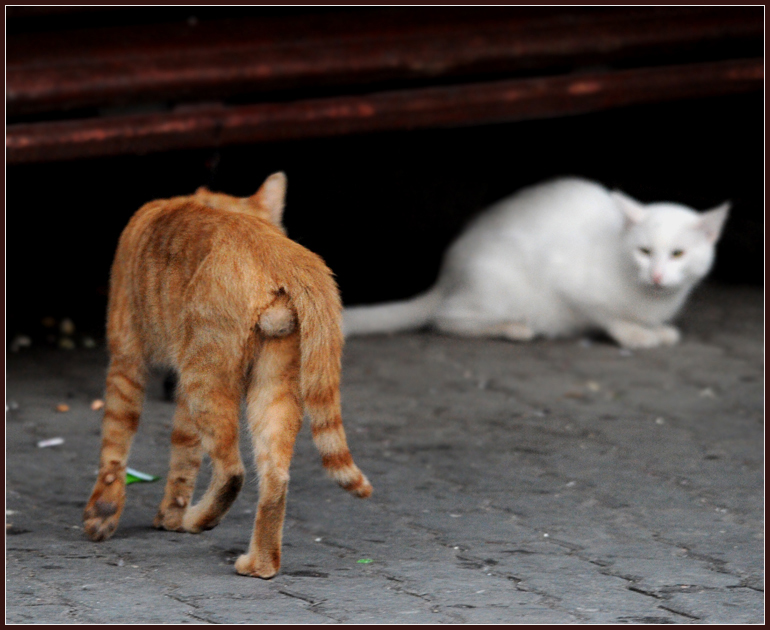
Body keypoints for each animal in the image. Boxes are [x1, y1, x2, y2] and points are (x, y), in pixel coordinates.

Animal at [82, 172, 370, 576]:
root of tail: (282, 252)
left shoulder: (127, 358)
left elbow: (115, 446)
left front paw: (104, 513)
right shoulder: (181, 389)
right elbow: (185, 452)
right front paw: (170, 514)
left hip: (205, 377)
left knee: (233, 470)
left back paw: (198, 520)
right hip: (271, 385)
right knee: (274, 476)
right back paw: (259, 564)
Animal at [342, 178, 728, 350]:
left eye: (678, 254)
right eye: (644, 252)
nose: (657, 275)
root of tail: (447, 274)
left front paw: (658, 329)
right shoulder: (571, 283)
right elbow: (608, 316)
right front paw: (636, 334)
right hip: (499, 287)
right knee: (445, 318)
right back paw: (513, 328)